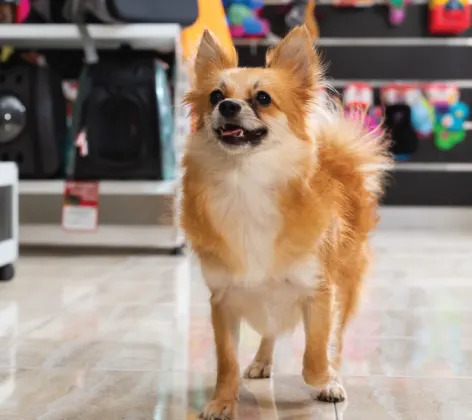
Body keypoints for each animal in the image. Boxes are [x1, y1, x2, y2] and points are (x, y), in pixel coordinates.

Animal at [181, 26, 390, 420]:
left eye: (263, 98)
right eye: (215, 95)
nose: (227, 106)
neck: (244, 182)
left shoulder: (320, 292)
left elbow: (316, 355)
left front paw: (327, 380)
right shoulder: (223, 300)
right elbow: (226, 362)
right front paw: (221, 401)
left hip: (345, 283)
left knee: (335, 339)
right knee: (270, 331)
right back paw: (263, 361)